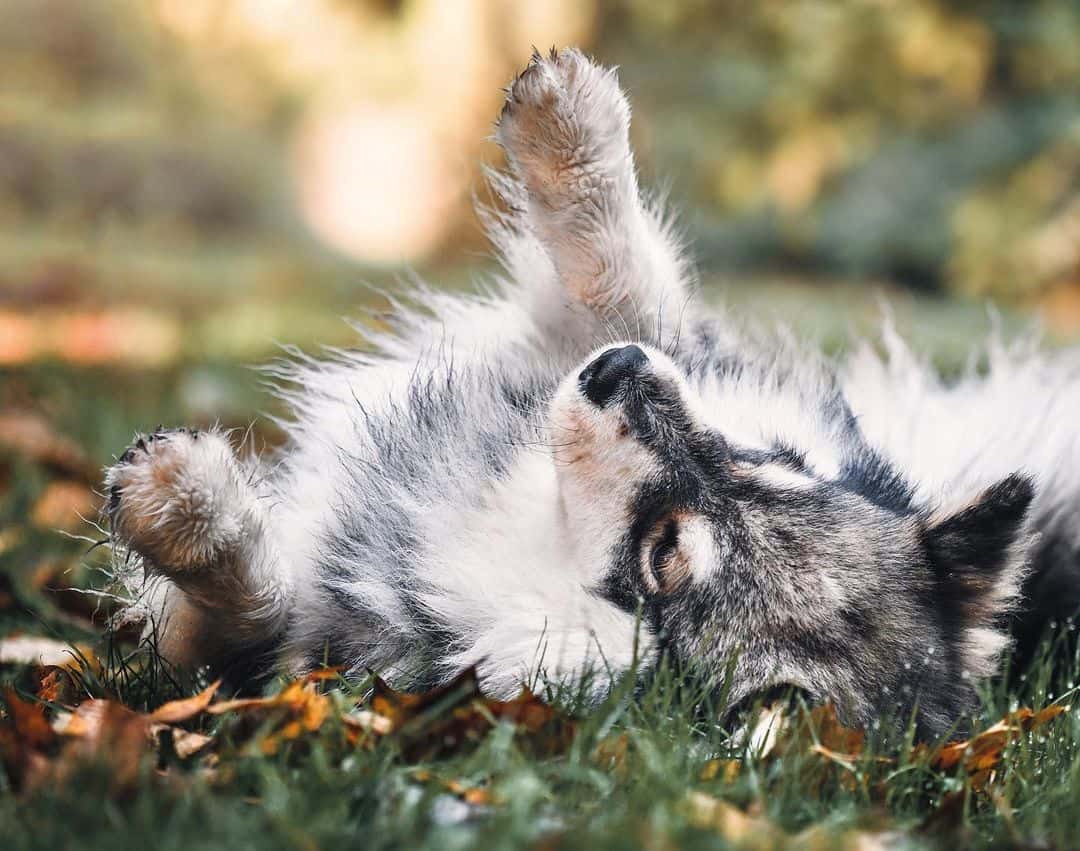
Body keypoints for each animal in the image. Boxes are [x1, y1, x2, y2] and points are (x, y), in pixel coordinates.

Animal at [105, 48, 1080, 738]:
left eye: (666, 555)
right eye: (778, 462)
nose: (621, 370)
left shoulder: (286, 657)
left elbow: (252, 599)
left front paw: (182, 506)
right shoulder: (608, 330)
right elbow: (620, 266)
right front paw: (568, 127)